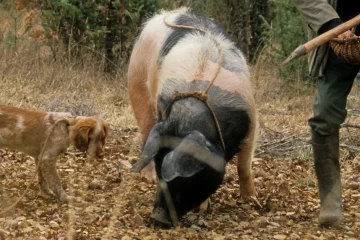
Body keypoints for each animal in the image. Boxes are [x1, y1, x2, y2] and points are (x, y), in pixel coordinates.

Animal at [128, 7, 258, 225]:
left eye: (189, 176)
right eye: (161, 169)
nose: (157, 217)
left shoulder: (251, 120)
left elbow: (244, 165)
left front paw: (252, 201)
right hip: (137, 81)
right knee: (145, 130)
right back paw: (147, 177)